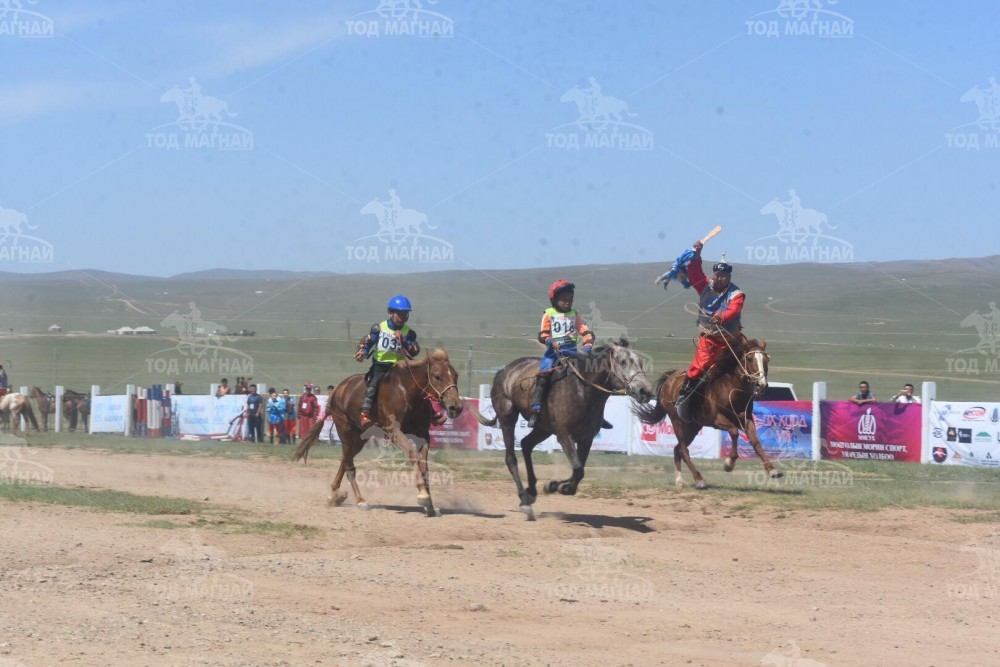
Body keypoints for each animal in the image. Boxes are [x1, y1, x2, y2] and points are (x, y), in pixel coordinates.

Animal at [292, 349, 463, 517]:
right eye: (438, 376)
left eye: (456, 376)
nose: (456, 407)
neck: (407, 392)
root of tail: (337, 390)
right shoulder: (395, 431)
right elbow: (413, 455)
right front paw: (423, 496)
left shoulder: (423, 435)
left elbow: (424, 465)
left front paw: (431, 505)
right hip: (345, 432)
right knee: (349, 466)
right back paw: (360, 500)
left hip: (359, 438)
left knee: (345, 460)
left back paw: (334, 495)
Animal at [468, 339, 653, 520]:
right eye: (623, 362)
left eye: (640, 363)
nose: (645, 391)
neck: (583, 390)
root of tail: (504, 371)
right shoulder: (565, 436)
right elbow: (578, 469)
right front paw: (559, 487)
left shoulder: (586, 439)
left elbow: (579, 470)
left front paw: (554, 486)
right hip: (507, 418)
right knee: (511, 458)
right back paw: (524, 499)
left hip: (543, 429)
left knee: (526, 444)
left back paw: (532, 491)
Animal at [634, 336, 781, 489]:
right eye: (750, 359)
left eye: (766, 360)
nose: (761, 385)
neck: (730, 387)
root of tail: (668, 381)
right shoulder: (717, 420)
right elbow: (734, 432)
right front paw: (729, 463)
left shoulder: (747, 420)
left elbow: (756, 442)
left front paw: (772, 469)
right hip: (677, 423)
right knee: (683, 450)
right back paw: (699, 479)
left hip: (692, 427)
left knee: (677, 450)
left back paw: (679, 480)